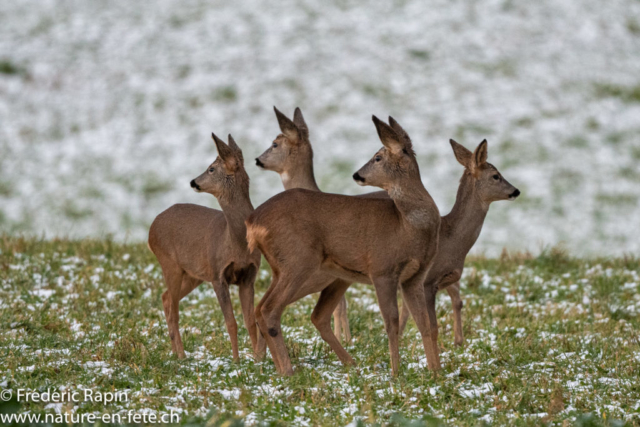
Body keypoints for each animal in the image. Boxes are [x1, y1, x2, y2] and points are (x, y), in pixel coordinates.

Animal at [148, 133, 260, 362]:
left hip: (193, 273)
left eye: (211, 169)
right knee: (173, 307)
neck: (236, 243)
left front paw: (258, 359)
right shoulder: (218, 273)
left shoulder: (248, 276)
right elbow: (231, 322)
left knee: (166, 298)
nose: (193, 181)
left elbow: (250, 321)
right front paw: (236, 360)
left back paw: (177, 352)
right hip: (169, 262)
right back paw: (181, 356)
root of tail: (151, 227)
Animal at [248, 115, 442, 376]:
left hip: (297, 269)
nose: (357, 174)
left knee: (278, 309)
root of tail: (252, 222)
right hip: (300, 262)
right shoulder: (382, 268)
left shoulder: (415, 276)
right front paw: (396, 373)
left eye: (377, 157)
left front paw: (436, 372)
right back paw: (289, 370)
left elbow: (425, 323)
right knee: (271, 309)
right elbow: (391, 323)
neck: (407, 225)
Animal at [400, 140, 520, 348]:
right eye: (496, 175)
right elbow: (430, 325)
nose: (516, 191)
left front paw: (458, 342)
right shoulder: (427, 281)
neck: (451, 239)